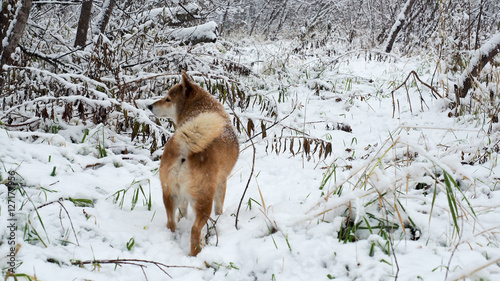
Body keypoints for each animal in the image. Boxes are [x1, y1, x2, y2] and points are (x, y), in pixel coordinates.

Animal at [147, 71, 239, 255]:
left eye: (168, 99)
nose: (149, 106)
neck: (202, 109)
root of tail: (184, 148)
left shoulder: (182, 196)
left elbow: (182, 212)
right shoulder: (222, 182)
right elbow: (219, 207)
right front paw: (220, 217)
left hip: (170, 194)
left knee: (171, 222)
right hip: (204, 201)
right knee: (196, 229)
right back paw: (197, 252)